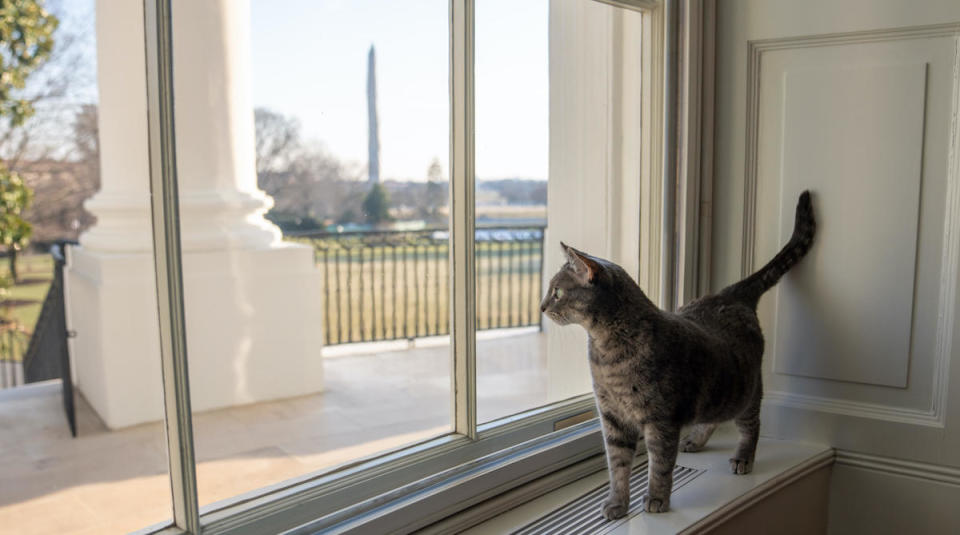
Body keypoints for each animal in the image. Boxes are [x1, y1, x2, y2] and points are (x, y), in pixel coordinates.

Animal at [540, 191, 816, 516]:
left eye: (557, 292)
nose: (541, 307)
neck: (606, 351)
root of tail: (731, 293)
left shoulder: (661, 418)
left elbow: (659, 464)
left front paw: (656, 498)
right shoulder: (612, 417)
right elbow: (617, 466)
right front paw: (617, 502)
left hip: (745, 393)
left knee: (752, 425)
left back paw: (744, 457)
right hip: (719, 397)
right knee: (712, 418)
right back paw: (695, 440)